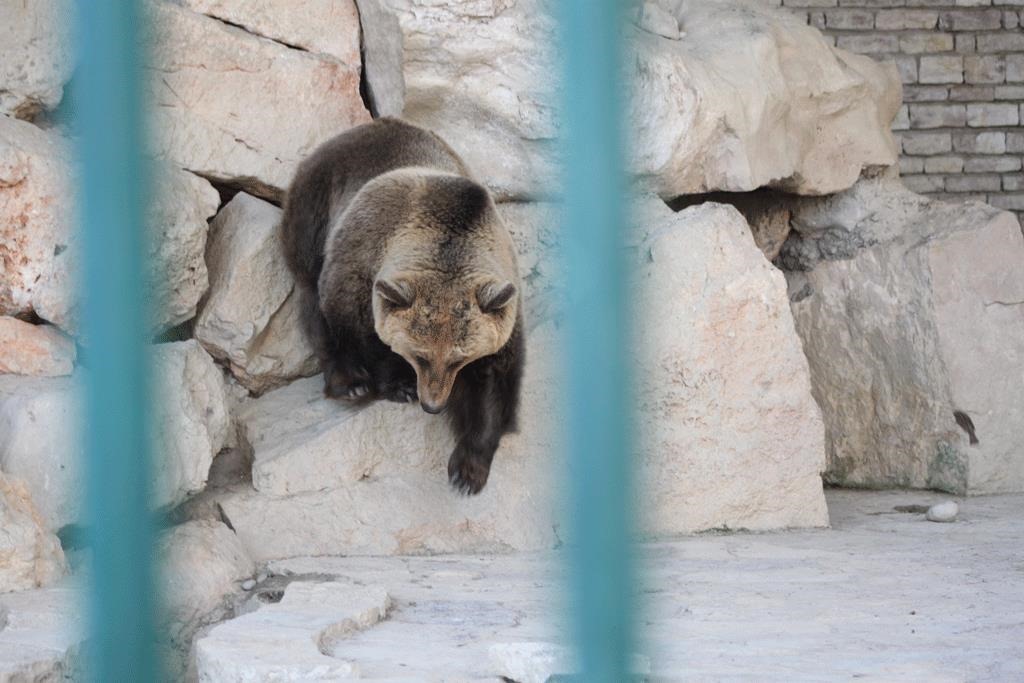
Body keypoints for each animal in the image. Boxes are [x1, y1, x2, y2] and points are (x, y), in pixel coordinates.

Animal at [279, 117, 524, 495]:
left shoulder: (500, 306)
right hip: (314, 209)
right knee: (311, 294)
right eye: (420, 356)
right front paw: (398, 384)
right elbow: (361, 329)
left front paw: (468, 469)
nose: (432, 405)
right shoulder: (360, 264)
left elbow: (493, 380)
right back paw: (350, 382)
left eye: (459, 359)